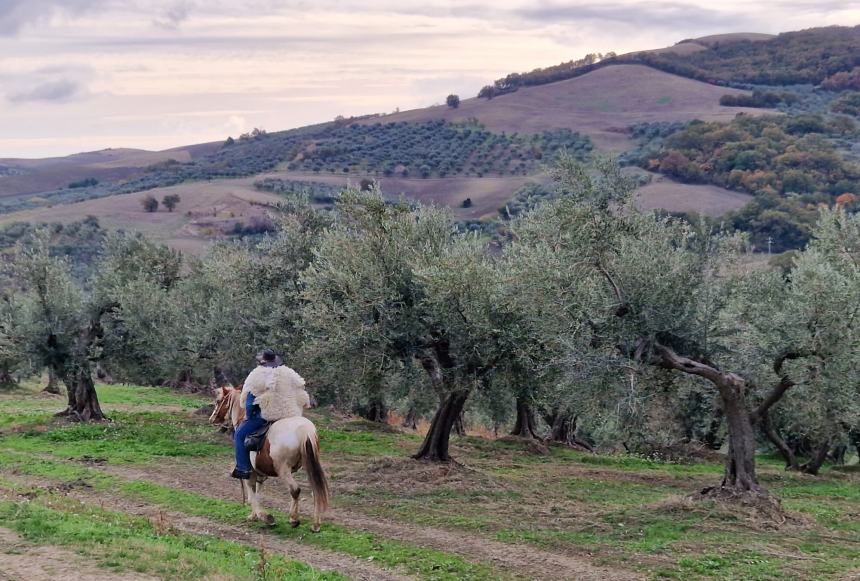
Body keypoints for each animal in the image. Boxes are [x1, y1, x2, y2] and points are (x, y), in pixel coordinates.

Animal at [208, 386, 330, 532]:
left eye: (218, 400)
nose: (212, 418)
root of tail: (305, 431)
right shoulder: (260, 472)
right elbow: (258, 491)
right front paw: (254, 515)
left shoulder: (251, 471)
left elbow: (251, 492)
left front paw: (264, 517)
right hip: (309, 466)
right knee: (316, 491)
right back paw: (315, 524)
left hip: (283, 469)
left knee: (295, 490)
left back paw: (293, 519)